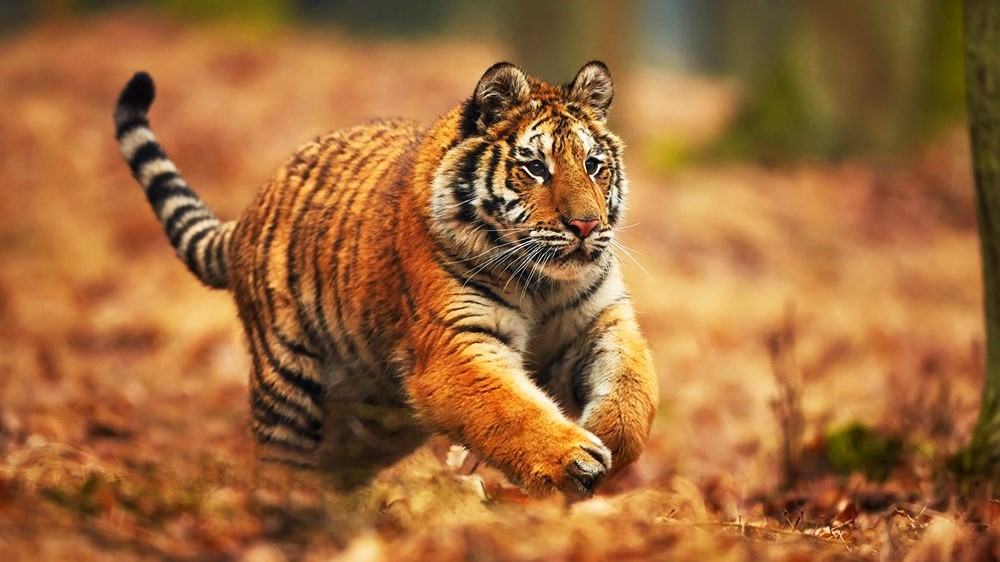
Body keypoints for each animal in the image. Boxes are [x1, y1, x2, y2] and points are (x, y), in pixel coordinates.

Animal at [112, 61, 658, 496]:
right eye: (536, 167)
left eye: (593, 165)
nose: (586, 225)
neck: (543, 283)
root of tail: (247, 215)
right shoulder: (456, 345)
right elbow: (509, 408)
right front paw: (574, 458)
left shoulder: (599, 321)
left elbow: (636, 388)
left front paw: (607, 436)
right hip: (286, 381)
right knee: (281, 465)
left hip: (375, 418)